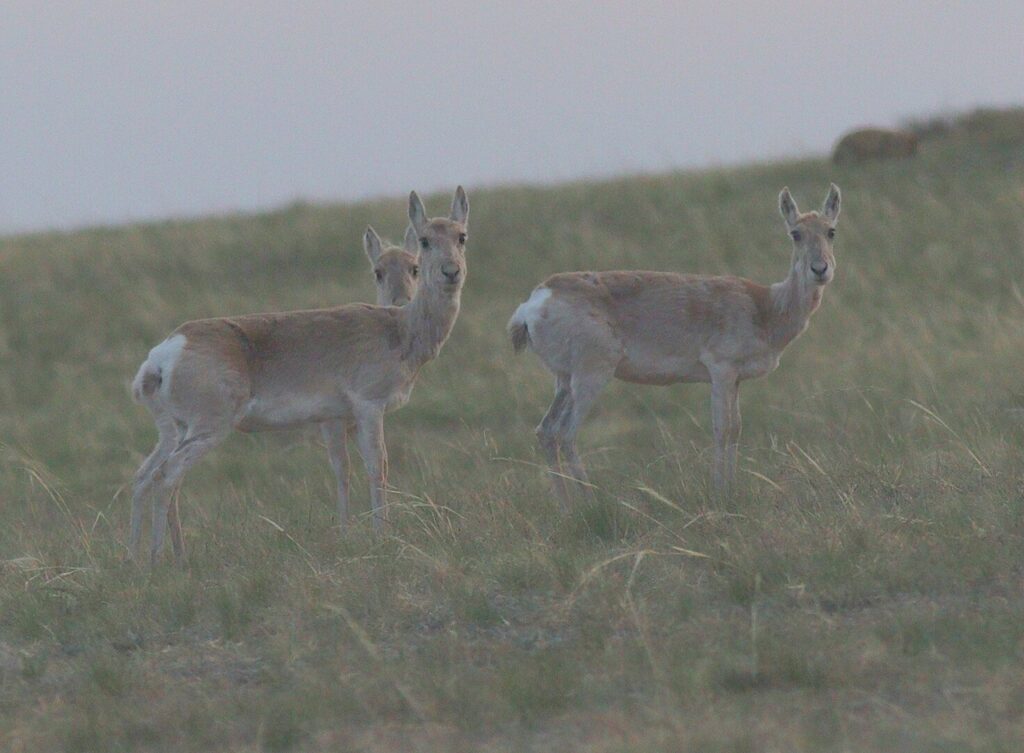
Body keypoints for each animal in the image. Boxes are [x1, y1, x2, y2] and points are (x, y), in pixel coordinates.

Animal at [130, 187, 469, 564]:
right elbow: (377, 467)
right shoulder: (368, 408)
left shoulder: (340, 419)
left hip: (174, 431)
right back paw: (159, 558)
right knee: (166, 476)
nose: (451, 271)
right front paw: (382, 536)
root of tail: (167, 351)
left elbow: (347, 468)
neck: (397, 327)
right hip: (208, 430)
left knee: (145, 476)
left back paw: (139, 559)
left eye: (461, 236)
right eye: (424, 240)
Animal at [508, 184, 840, 507]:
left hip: (564, 382)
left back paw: (567, 507)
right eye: (795, 233)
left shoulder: (735, 381)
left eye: (830, 230)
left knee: (547, 431)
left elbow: (735, 428)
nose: (820, 269)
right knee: (566, 433)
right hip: (591, 377)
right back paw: (590, 503)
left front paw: (732, 488)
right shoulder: (721, 372)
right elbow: (721, 428)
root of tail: (538, 298)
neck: (762, 304)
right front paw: (721, 492)